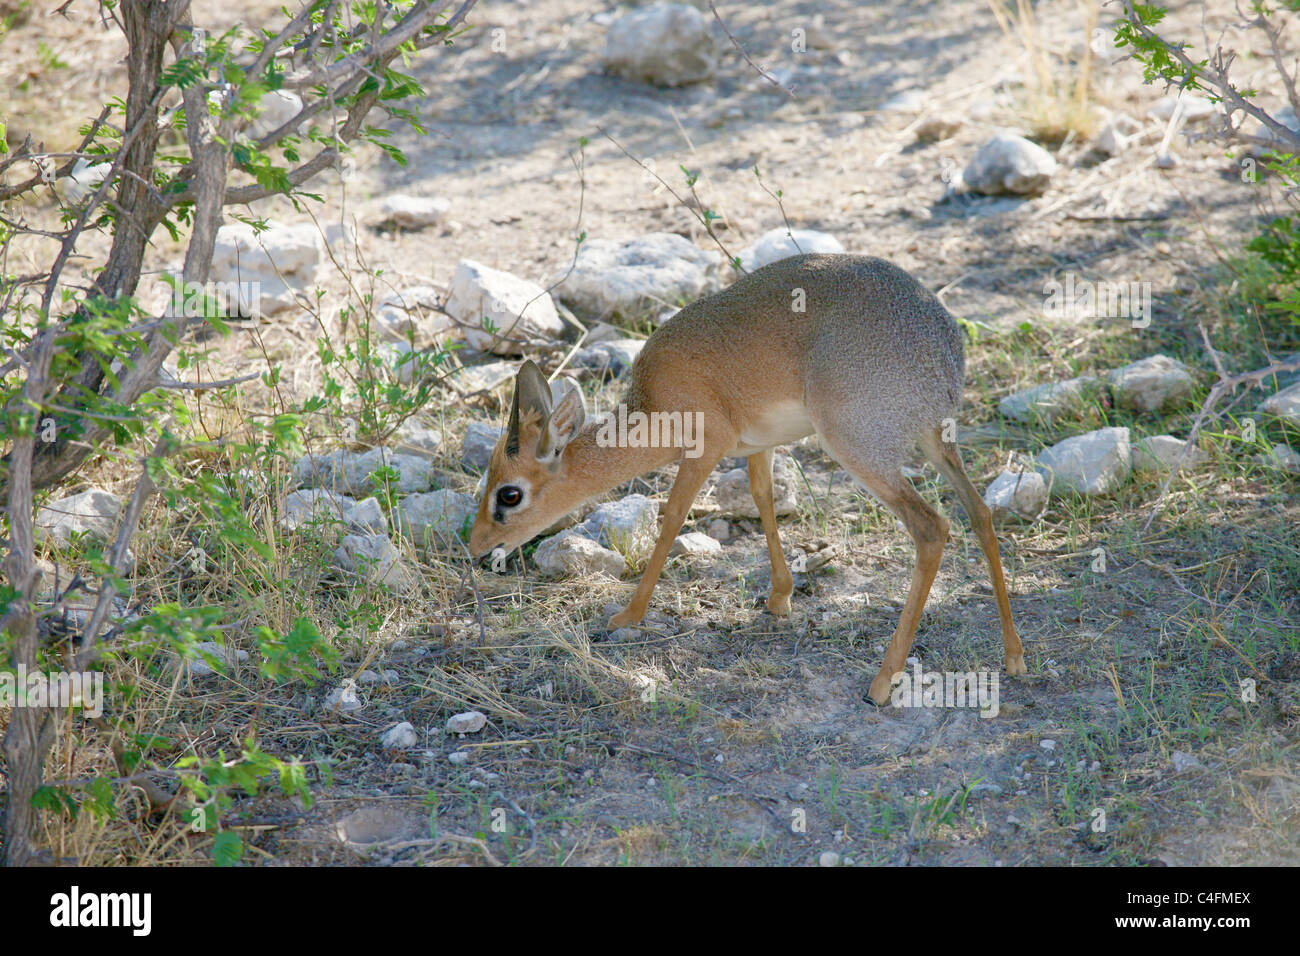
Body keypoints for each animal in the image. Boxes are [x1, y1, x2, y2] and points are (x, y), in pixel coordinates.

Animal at [467, 254, 1024, 702]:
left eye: (509, 495)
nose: (475, 548)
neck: (654, 407)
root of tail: (945, 349)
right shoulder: (757, 447)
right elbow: (762, 499)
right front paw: (780, 598)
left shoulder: (704, 451)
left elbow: (672, 519)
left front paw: (628, 615)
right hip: (936, 441)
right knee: (979, 512)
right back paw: (1014, 656)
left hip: (861, 451)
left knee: (932, 528)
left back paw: (882, 684)